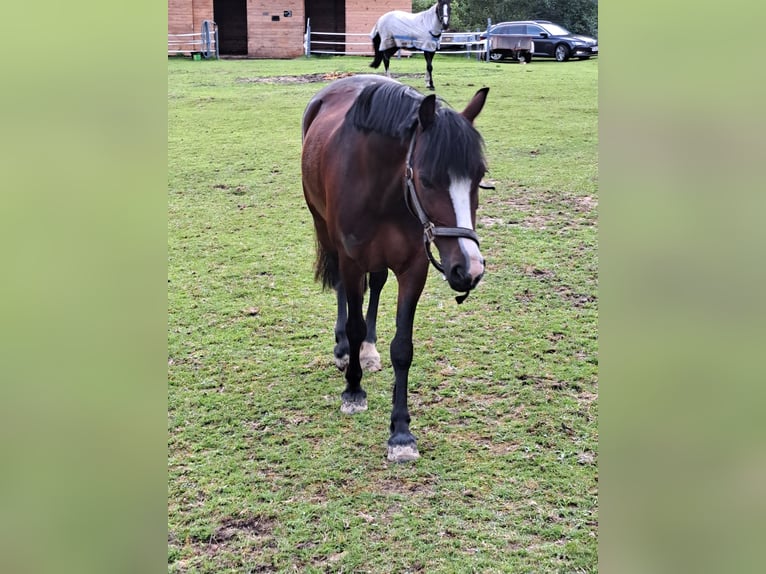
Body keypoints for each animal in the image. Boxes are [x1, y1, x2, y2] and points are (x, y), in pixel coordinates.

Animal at [302, 76, 492, 464]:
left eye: (479, 177)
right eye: (428, 179)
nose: (470, 268)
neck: (382, 189)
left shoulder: (414, 268)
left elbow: (403, 347)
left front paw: (401, 432)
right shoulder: (351, 260)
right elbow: (355, 324)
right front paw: (353, 390)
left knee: (376, 284)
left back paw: (368, 350)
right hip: (325, 230)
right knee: (343, 292)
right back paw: (345, 351)